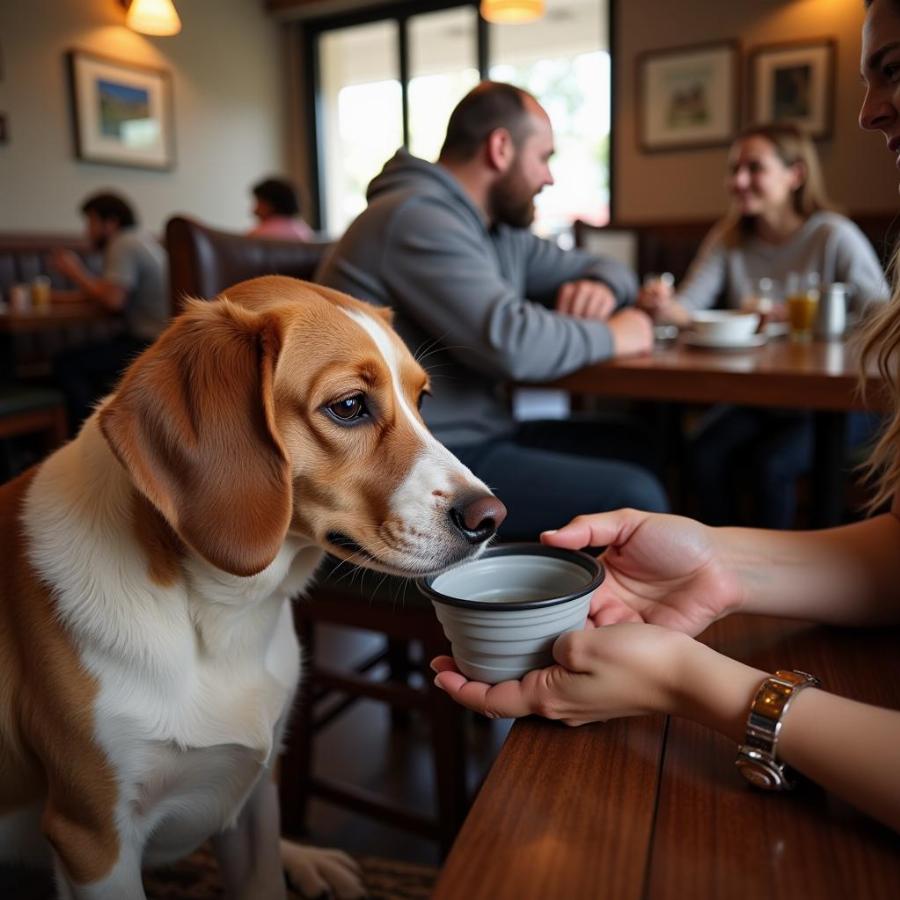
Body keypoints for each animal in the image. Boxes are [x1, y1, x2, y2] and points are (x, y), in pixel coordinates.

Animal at [0, 276, 506, 900]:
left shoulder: (250, 799)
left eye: (423, 400)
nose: (492, 518)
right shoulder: (93, 841)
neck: (222, 616)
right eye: (349, 406)